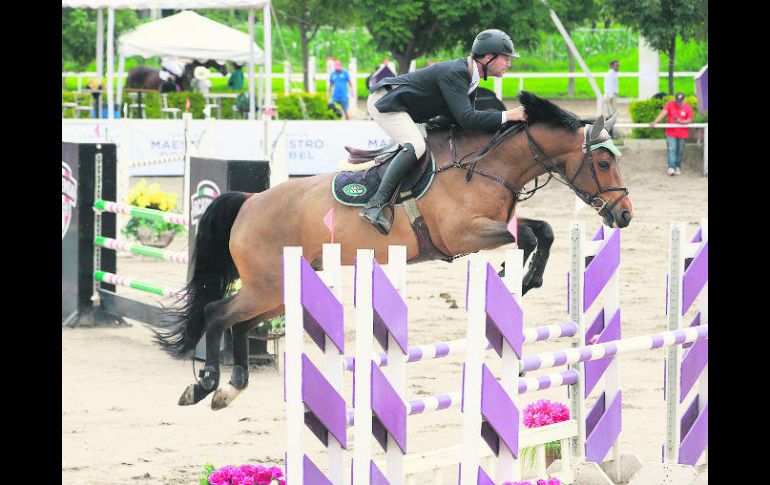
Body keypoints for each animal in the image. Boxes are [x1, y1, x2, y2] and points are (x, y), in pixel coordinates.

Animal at [154, 91, 632, 408]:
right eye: (603, 162)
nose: (624, 215)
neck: (486, 166)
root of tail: (250, 201)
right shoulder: (464, 234)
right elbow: (531, 237)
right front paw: (517, 276)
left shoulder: (498, 225)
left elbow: (544, 231)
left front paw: (526, 279)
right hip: (267, 284)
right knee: (218, 313)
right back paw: (205, 384)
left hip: (280, 287)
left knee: (240, 324)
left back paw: (231, 388)